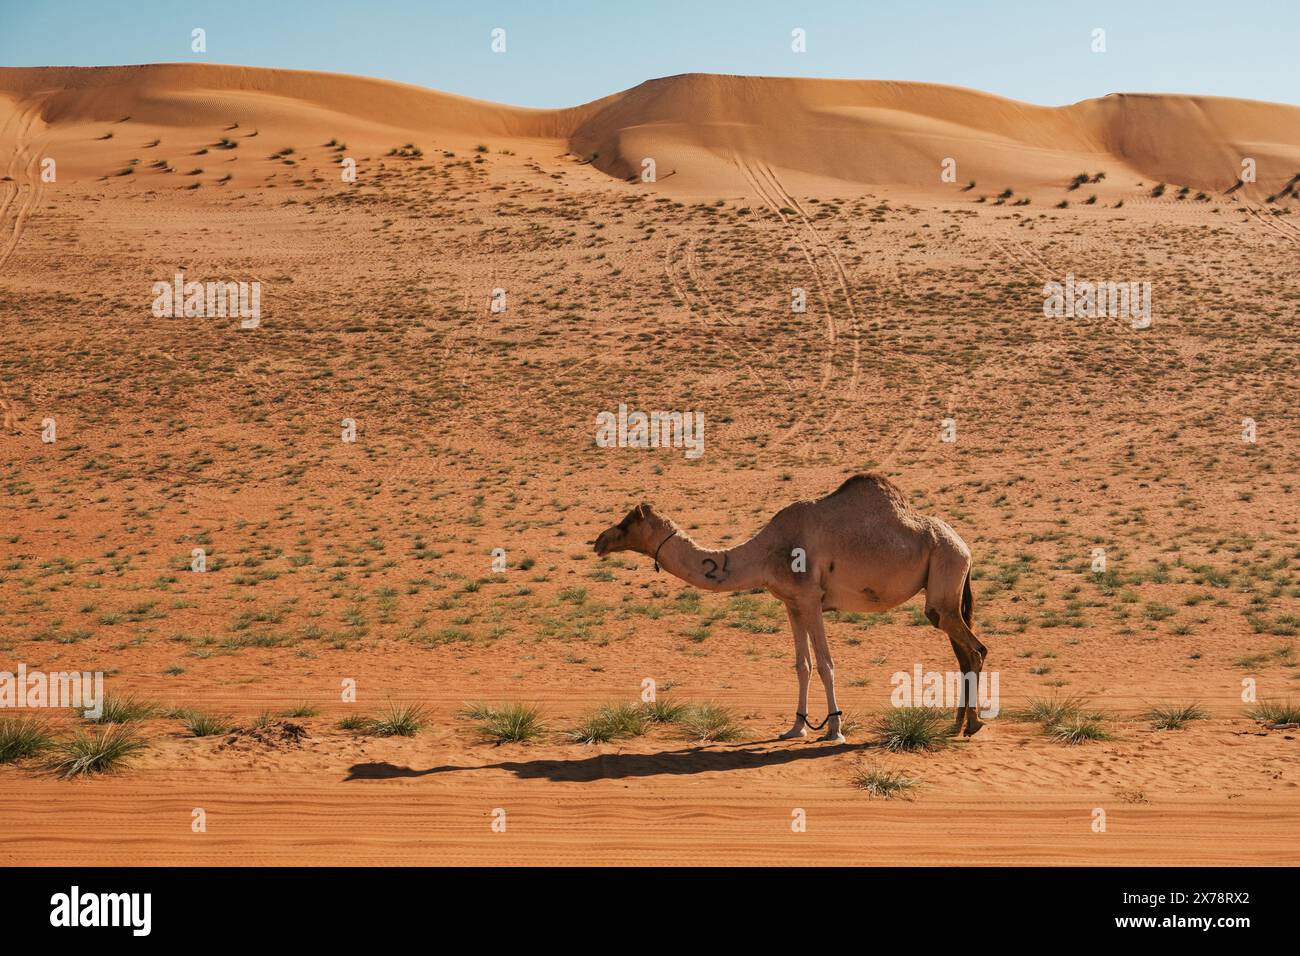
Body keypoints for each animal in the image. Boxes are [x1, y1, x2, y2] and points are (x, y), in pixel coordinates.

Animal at [592, 474, 987, 742]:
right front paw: (796, 727)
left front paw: (834, 729)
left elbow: (826, 664)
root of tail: (964, 545)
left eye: (626, 523)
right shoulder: (792, 604)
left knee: (976, 650)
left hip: (945, 571)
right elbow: (803, 665)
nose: (598, 540)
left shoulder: (810, 599)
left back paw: (974, 724)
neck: (768, 551)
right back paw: (956, 724)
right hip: (945, 593)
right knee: (961, 649)